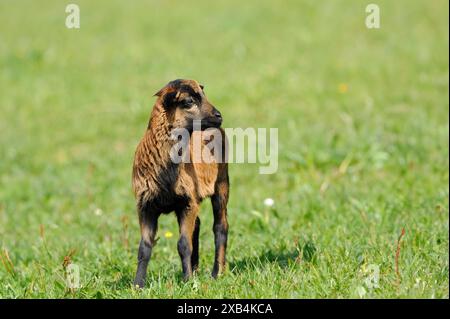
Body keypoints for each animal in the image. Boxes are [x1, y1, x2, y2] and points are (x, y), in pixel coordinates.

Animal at [130, 79, 229, 288]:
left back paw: (217, 273)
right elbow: (144, 247)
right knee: (197, 226)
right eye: (188, 101)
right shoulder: (145, 206)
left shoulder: (186, 202)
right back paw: (196, 269)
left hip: (222, 183)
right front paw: (137, 284)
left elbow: (183, 244)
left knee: (220, 226)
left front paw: (187, 281)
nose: (218, 115)